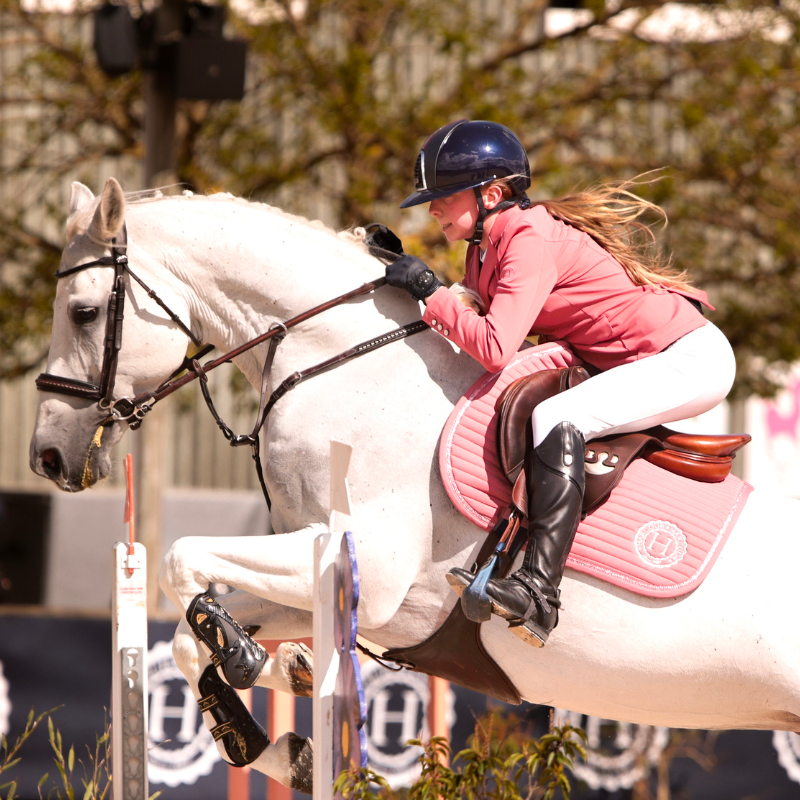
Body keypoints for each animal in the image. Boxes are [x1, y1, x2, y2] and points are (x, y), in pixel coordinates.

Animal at [31, 180, 800, 788]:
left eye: (83, 312)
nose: (47, 456)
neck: (343, 363)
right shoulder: (351, 586)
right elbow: (194, 634)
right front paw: (282, 717)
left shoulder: (372, 567)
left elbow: (178, 559)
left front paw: (255, 661)